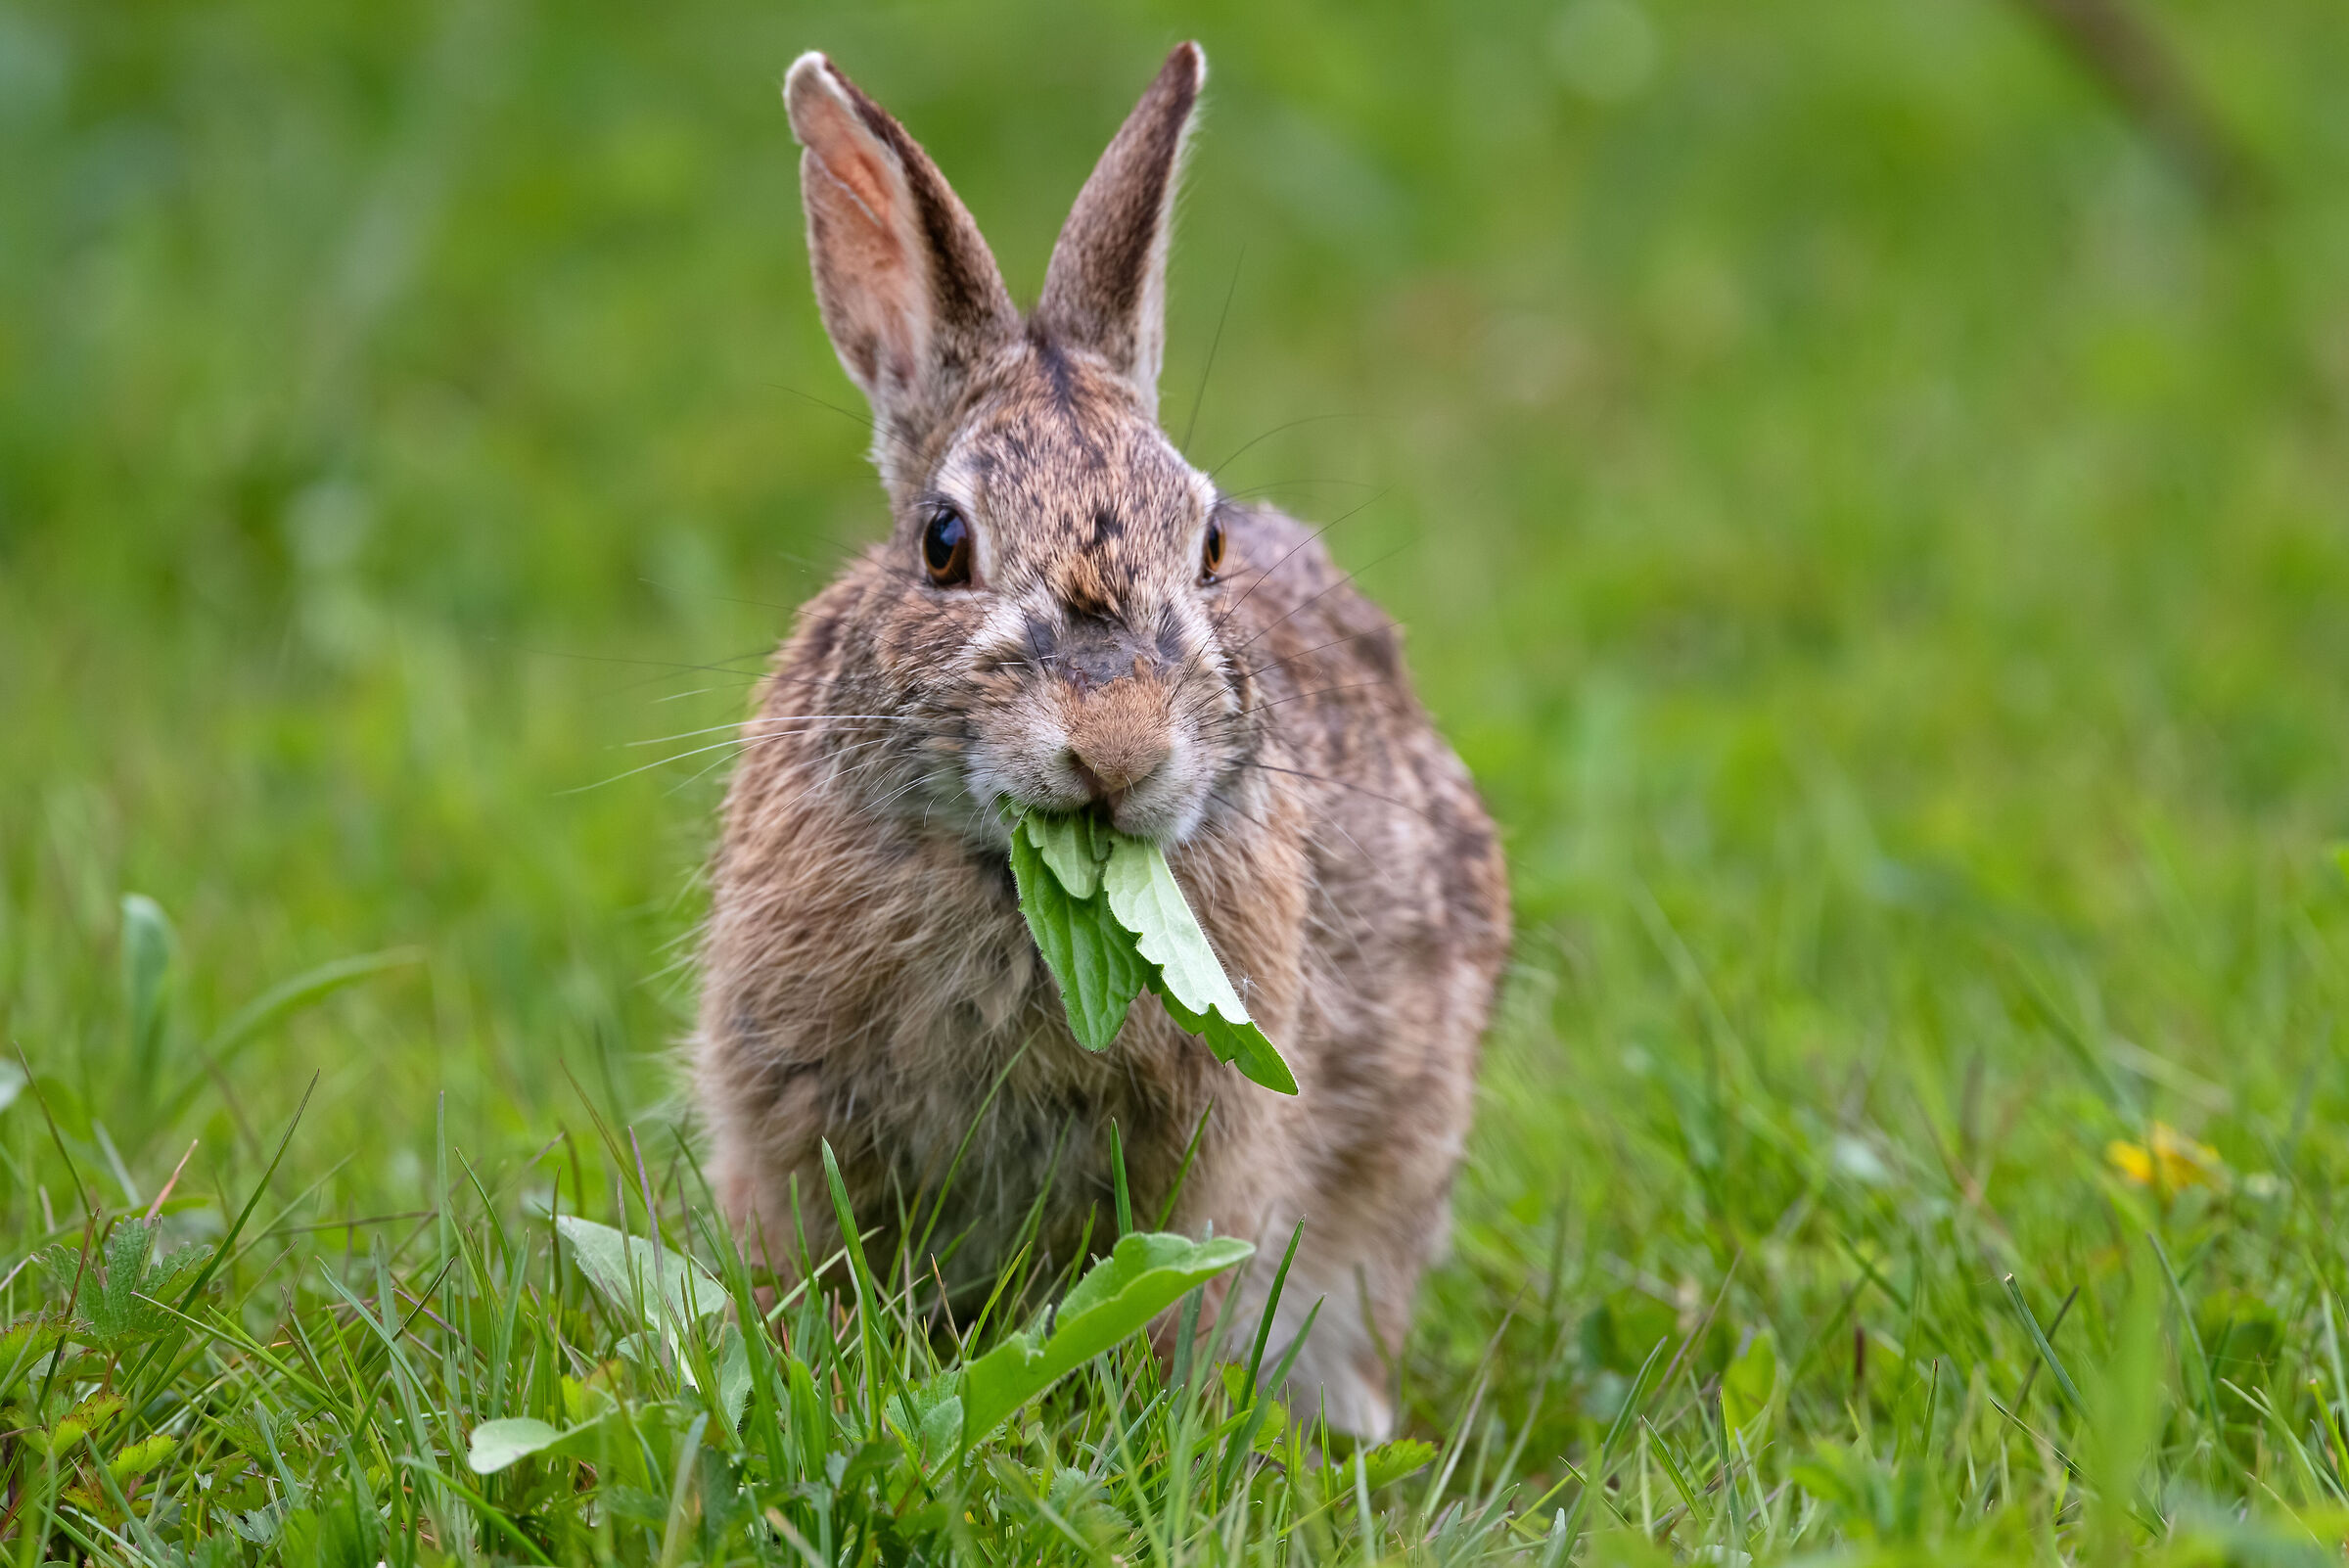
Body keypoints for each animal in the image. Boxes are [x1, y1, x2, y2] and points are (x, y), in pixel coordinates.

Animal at [693, 41, 1510, 1439]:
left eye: (1213, 544)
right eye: (942, 544)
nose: (1117, 748)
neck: (1023, 895)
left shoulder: (1213, 1161)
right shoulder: (787, 1122)